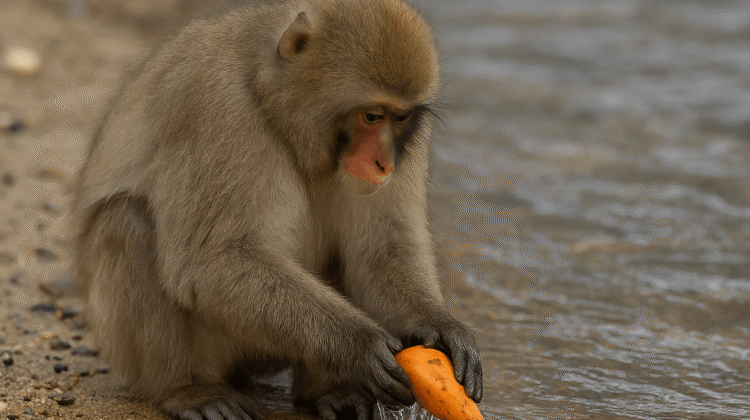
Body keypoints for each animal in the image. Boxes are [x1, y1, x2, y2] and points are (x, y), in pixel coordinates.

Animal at [72, 0, 483, 419]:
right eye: (372, 116)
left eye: (400, 118)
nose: (384, 164)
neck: (267, 92)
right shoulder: (221, 108)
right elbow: (211, 261)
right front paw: (359, 345)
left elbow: (382, 249)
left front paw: (440, 327)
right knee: (126, 222)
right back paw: (188, 389)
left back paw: (330, 392)